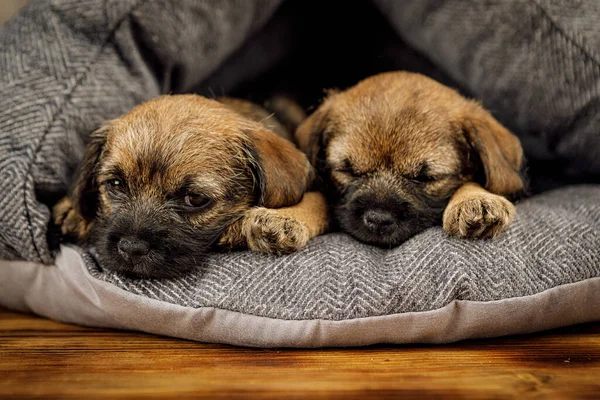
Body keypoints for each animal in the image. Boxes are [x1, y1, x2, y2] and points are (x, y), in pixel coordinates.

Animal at [54, 95, 328, 280]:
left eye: (195, 198)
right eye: (115, 184)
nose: (131, 248)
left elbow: (314, 201)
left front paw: (283, 218)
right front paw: (74, 210)